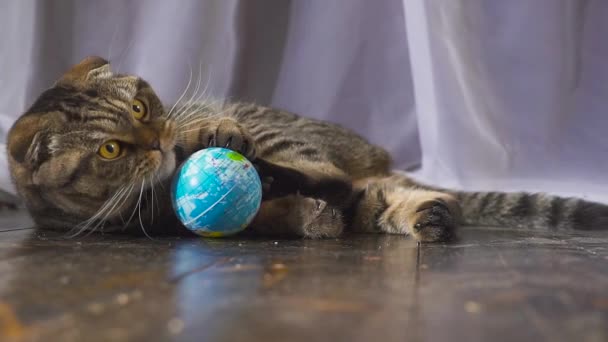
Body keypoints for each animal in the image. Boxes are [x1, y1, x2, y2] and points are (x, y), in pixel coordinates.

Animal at [5, 56, 608, 240]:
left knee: (334, 179)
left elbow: (200, 128)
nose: (157, 141)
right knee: (372, 197)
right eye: (110, 151)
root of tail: (375, 159)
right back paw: (426, 215)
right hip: (368, 196)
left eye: (140, 108)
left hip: (291, 139)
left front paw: (211, 133)